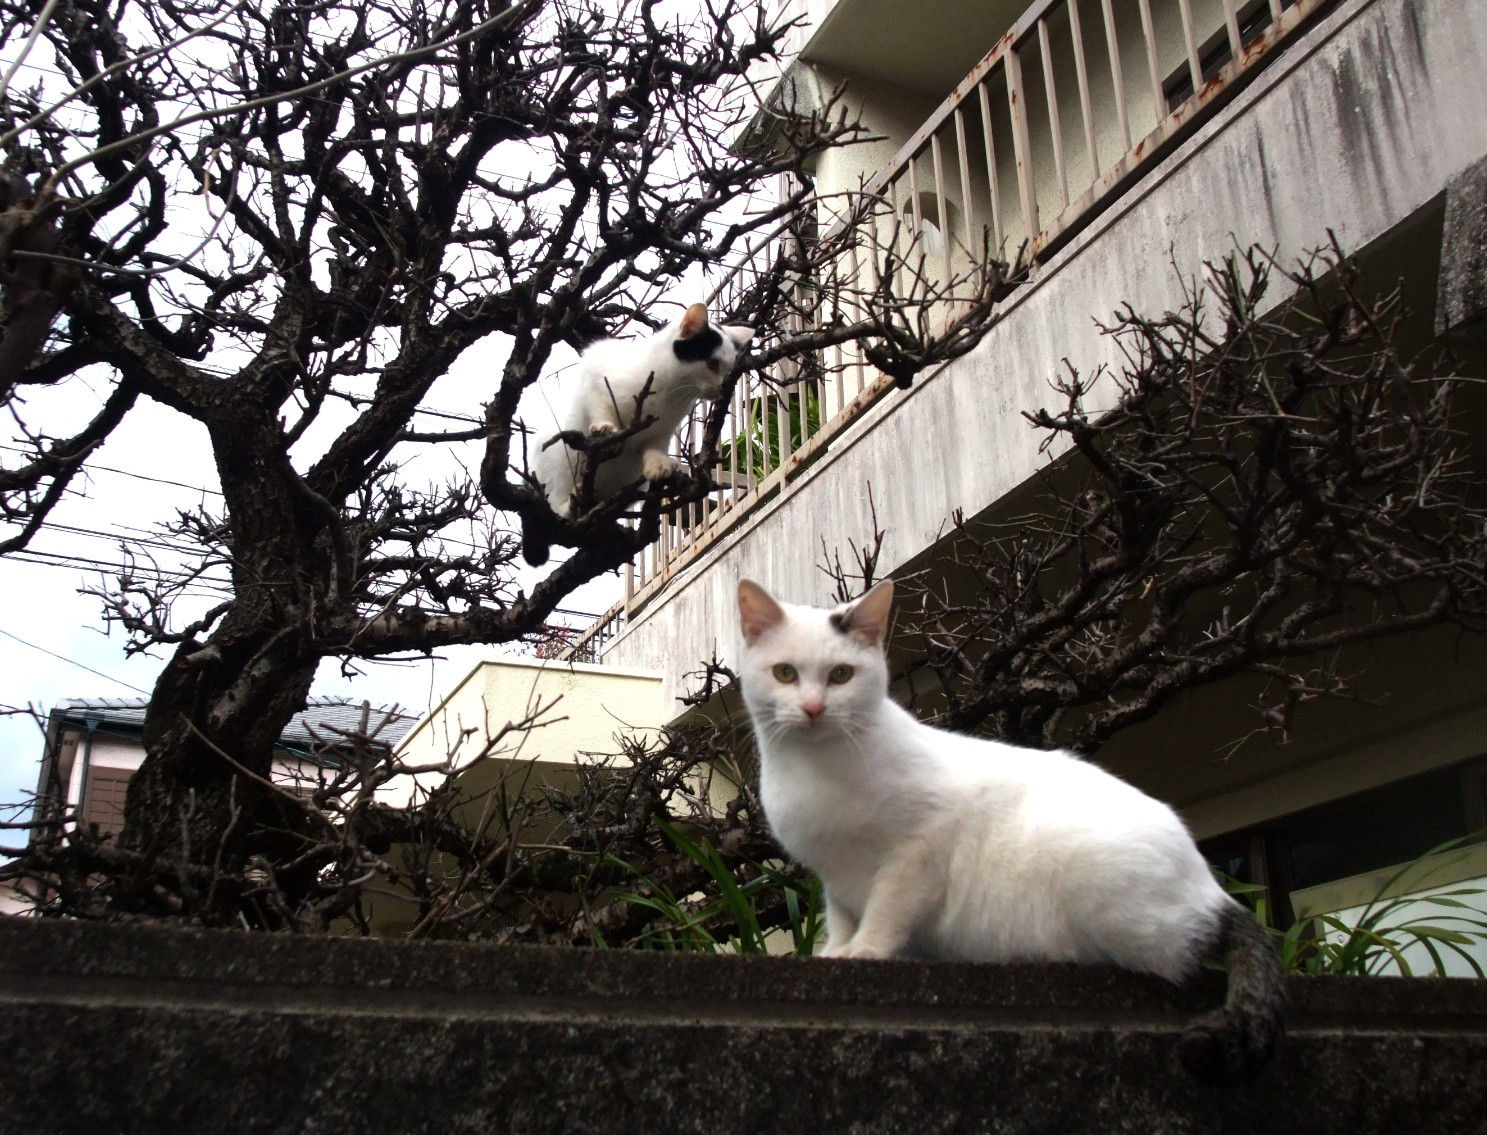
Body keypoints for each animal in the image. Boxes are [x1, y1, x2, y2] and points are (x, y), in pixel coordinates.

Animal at [522, 303, 753, 565]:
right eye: (712, 364)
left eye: (731, 370)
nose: (723, 388)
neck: (670, 392)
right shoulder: (595, 370)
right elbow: (599, 405)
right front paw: (604, 427)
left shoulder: (663, 429)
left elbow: (653, 445)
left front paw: (658, 464)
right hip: (555, 464)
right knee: (555, 499)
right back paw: (570, 505)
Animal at [736, 578, 1285, 1079]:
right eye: (784, 673)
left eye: (841, 674)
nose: (812, 709)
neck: (815, 771)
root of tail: (1214, 890)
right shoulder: (834, 876)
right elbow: (842, 915)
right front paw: (833, 952)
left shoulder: (921, 848)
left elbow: (887, 910)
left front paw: (865, 952)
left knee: (1173, 958)